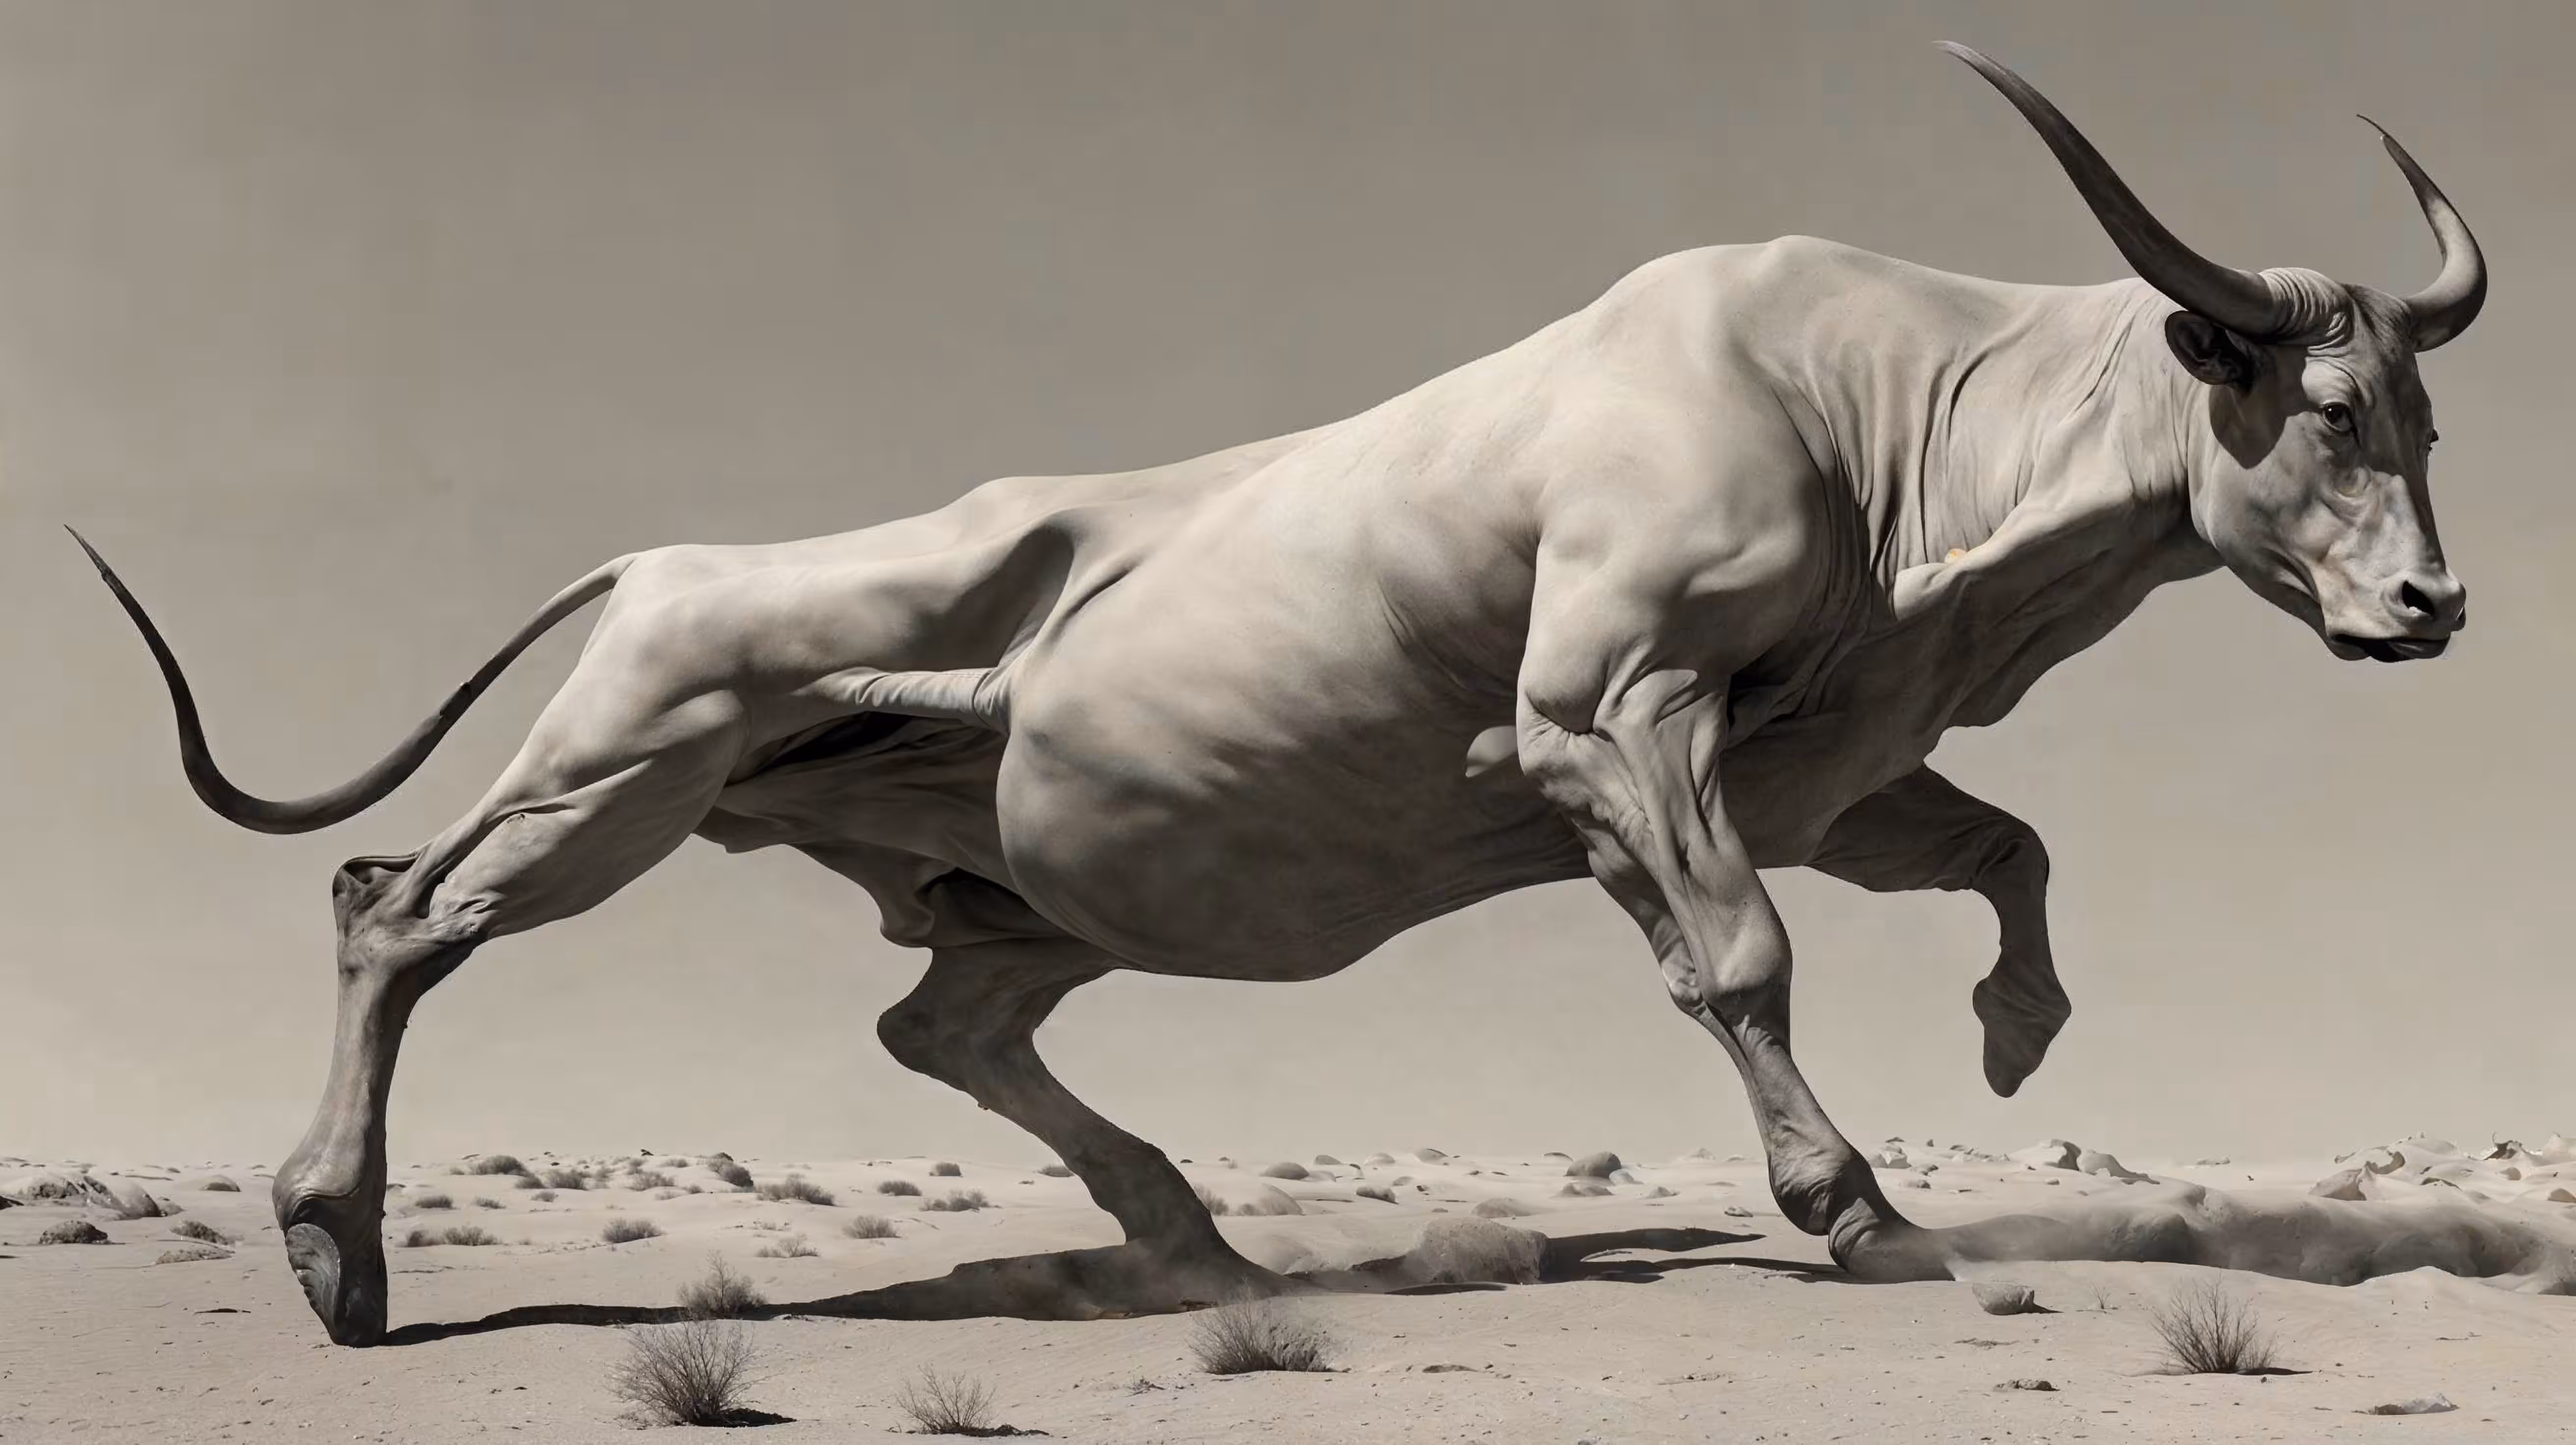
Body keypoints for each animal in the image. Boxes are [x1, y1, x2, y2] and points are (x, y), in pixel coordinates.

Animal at [77, 45, 2506, 1346]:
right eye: (2312, 412)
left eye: (2420, 416)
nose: (2432, 606)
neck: (1883, 427)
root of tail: (668, 555)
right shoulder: (1614, 712)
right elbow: (1736, 956)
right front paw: (1858, 1211)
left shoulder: (1825, 765)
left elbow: (2007, 849)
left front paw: (2008, 1038)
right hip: (627, 765)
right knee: (397, 909)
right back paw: (333, 1245)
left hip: (1006, 880)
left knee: (939, 1022)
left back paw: (1180, 1231)